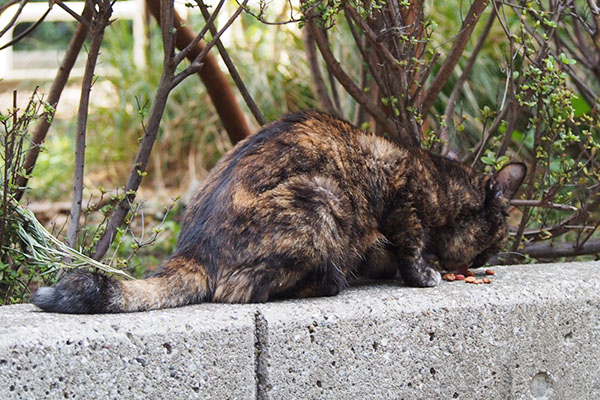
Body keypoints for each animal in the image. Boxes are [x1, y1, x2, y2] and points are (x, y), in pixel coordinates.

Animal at [35, 111, 528, 314]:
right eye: (496, 240)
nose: (487, 261)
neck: (442, 182)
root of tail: (192, 250)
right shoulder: (401, 197)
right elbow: (410, 243)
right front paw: (425, 274)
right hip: (322, 196)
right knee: (243, 291)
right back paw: (331, 282)